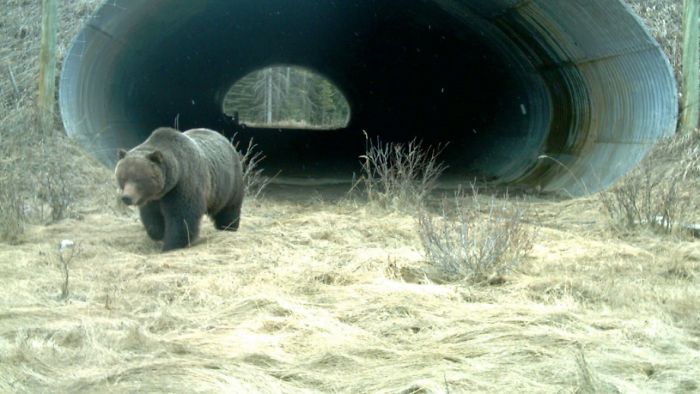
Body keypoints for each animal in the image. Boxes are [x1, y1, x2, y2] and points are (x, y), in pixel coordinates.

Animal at [116, 127, 245, 251]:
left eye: (138, 179)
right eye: (123, 178)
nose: (126, 197)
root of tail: (224, 138)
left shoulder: (183, 186)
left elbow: (182, 217)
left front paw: (172, 244)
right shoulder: (152, 198)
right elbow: (152, 217)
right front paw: (159, 233)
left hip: (228, 184)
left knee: (229, 208)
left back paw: (228, 227)